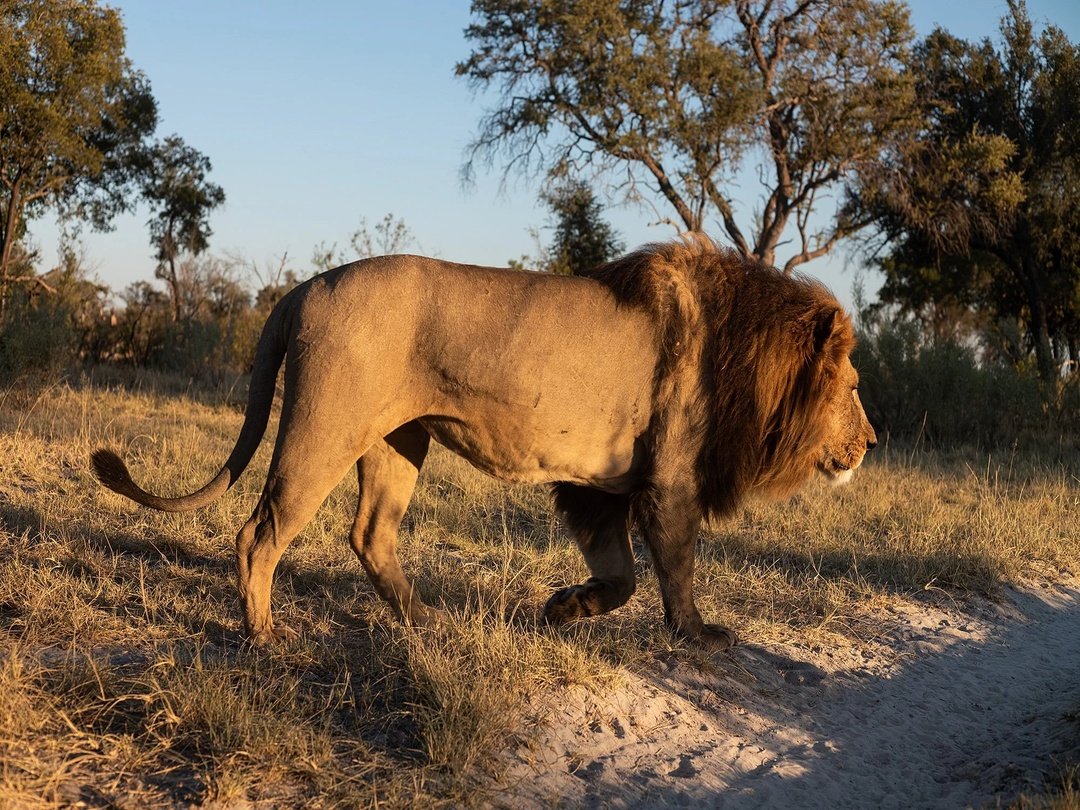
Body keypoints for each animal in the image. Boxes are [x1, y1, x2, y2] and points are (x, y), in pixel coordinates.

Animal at [92, 237, 876, 650]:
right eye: (853, 383)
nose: (871, 441)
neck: (748, 352)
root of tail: (305, 284)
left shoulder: (602, 486)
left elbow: (621, 576)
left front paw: (564, 608)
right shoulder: (670, 481)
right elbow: (676, 569)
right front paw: (699, 635)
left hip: (397, 444)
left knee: (370, 535)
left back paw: (425, 622)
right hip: (323, 429)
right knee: (259, 533)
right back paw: (264, 636)